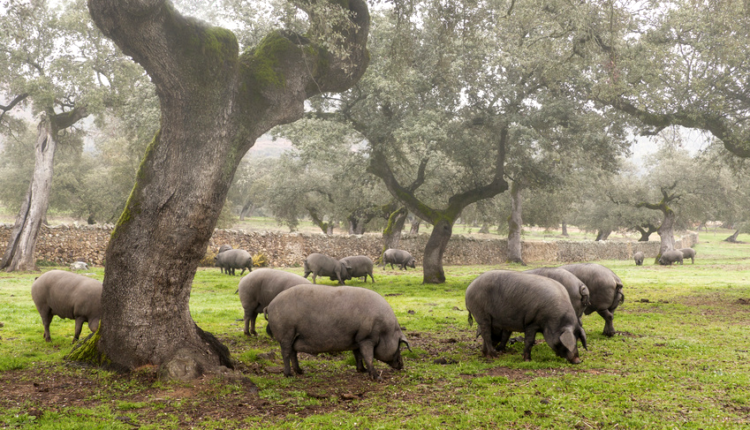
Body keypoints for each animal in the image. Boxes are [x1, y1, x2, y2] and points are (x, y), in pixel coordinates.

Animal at [264, 285, 411, 380]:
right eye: (399, 345)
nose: (402, 365)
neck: (385, 331)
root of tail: (270, 305)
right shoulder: (366, 338)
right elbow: (368, 356)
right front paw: (377, 378)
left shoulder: (356, 339)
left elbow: (358, 355)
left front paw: (361, 371)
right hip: (286, 333)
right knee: (286, 353)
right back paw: (288, 375)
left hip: (293, 336)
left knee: (293, 352)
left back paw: (301, 372)